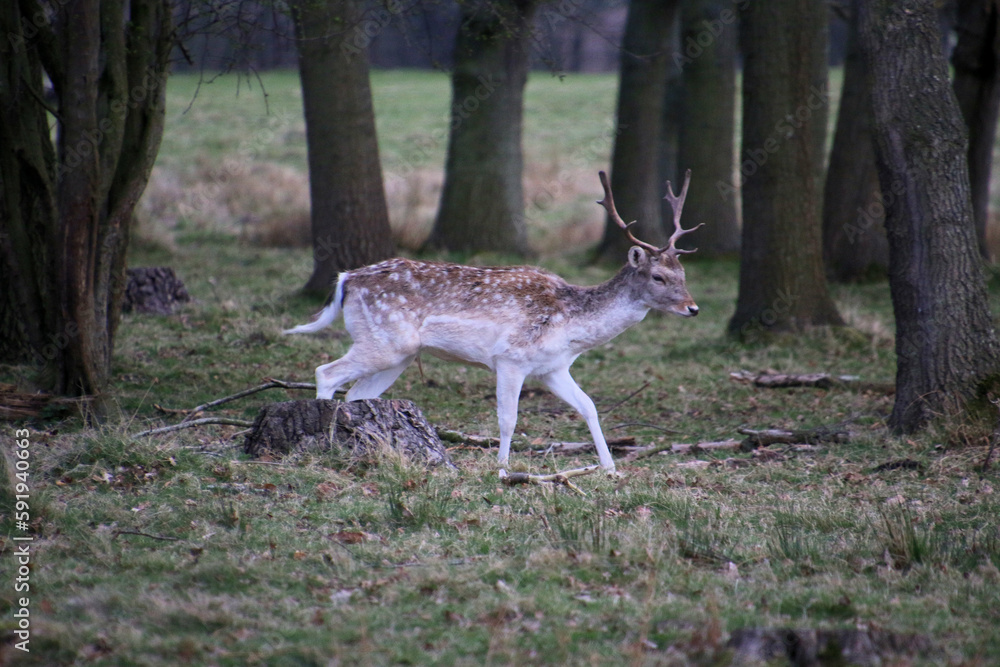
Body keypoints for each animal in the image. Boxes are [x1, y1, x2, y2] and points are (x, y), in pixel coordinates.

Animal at [283, 170, 702, 473]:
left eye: (683, 272)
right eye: (658, 277)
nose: (693, 308)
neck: (573, 326)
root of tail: (346, 279)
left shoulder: (552, 368)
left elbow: (588, 406)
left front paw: (611, 468)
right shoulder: (510, 357)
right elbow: (507, 418)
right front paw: (502, 469)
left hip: (398, 354)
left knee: (356, 394)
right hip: (384, 340)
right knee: (326, 372)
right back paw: (326, 444)